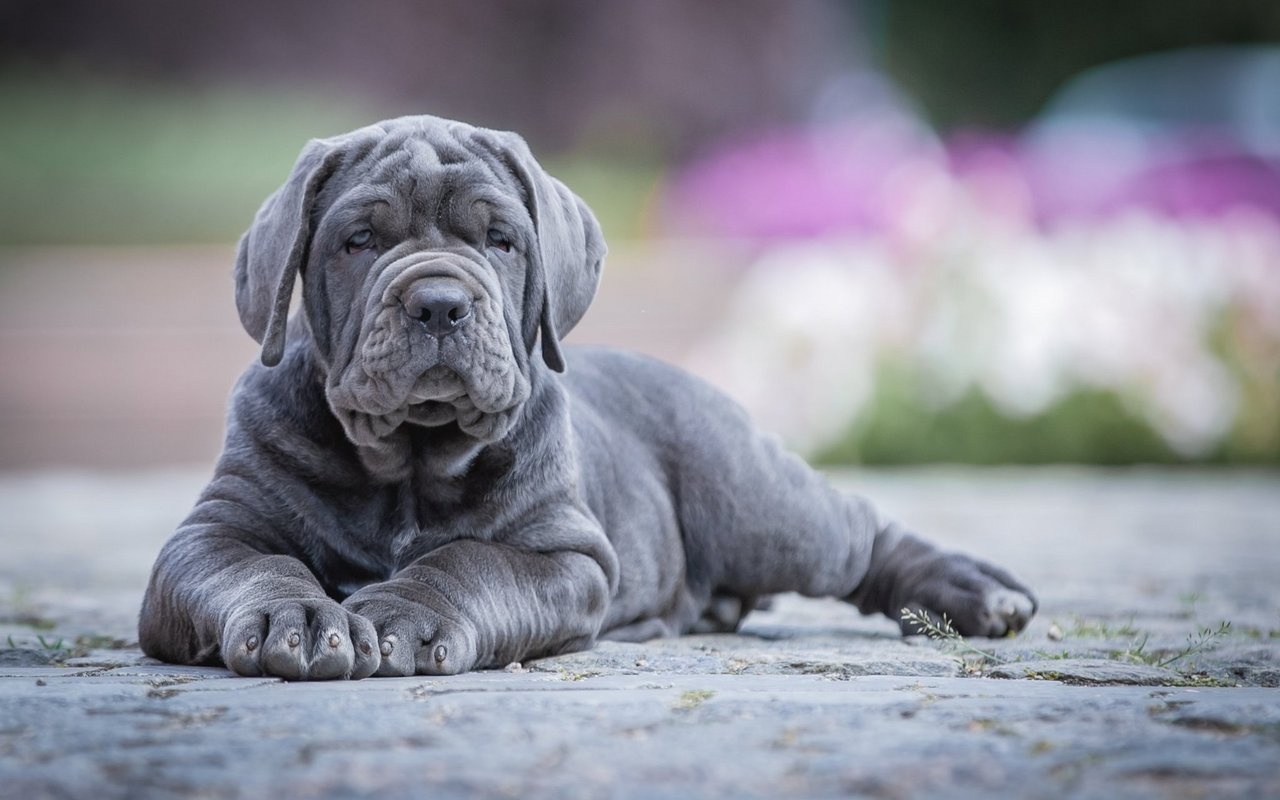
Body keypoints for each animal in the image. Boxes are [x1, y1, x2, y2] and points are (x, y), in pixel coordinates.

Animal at [140, 117, 1034, 680]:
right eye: (359, 241)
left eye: (501, 240)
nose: (439, 303)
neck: (409, 460)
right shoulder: (209, 535)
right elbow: (259, 566)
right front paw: (297, 620)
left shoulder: (562, 554)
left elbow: (466, 561)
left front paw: (400, 614)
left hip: (759, 504)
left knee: (863, 534)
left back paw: (975, 592)